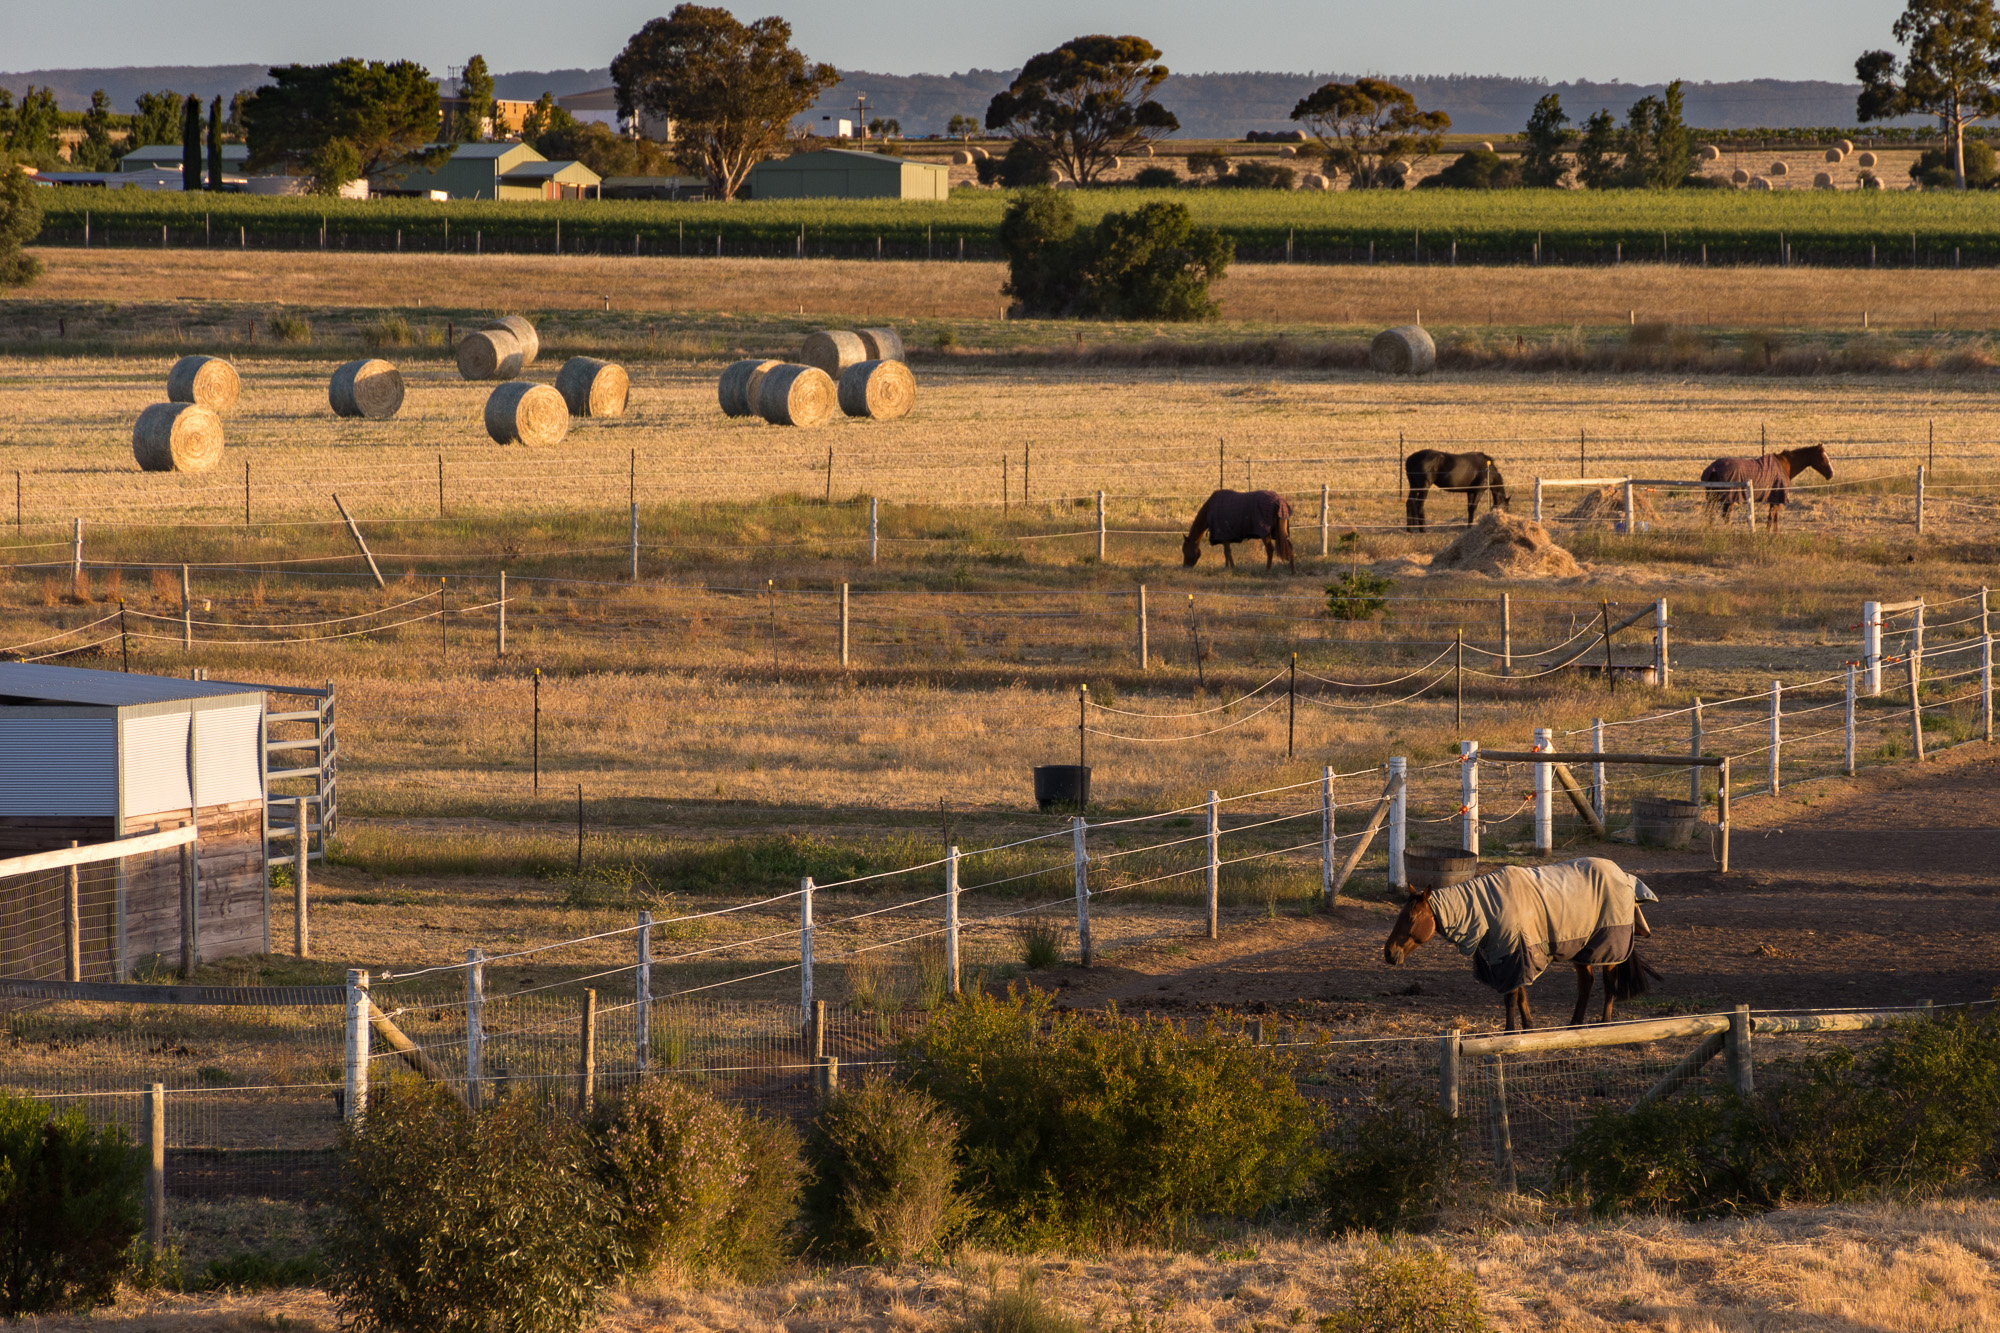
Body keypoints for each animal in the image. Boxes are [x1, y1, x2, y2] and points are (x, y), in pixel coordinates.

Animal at [1383, 857, 1662, 1031]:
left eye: (1411, 918)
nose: (1389, 952)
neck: (1487, 909)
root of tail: (1623, 876)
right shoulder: (1509, 958)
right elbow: (1520, 997)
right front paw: (1527, 1029)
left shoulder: (1514, 955)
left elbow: (1511, 998)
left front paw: (1510, 1032)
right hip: (1583, 950)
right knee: (1586, 985)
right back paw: (1574, 1025)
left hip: (1607, 949)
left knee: (1609, 984)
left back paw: (1603, 1024)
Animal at [1700, 445, 1832, 531]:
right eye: (1822, 458)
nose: (1831, 474)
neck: (1784, 466)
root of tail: (1713, 468)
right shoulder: (1776, 498)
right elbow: (1771, 518)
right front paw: (1768, 535)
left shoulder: (1775, 499)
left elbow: (1774, 518)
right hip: (1729, 499)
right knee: (1726, 516)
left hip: (1713, 498)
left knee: (1710, 513)